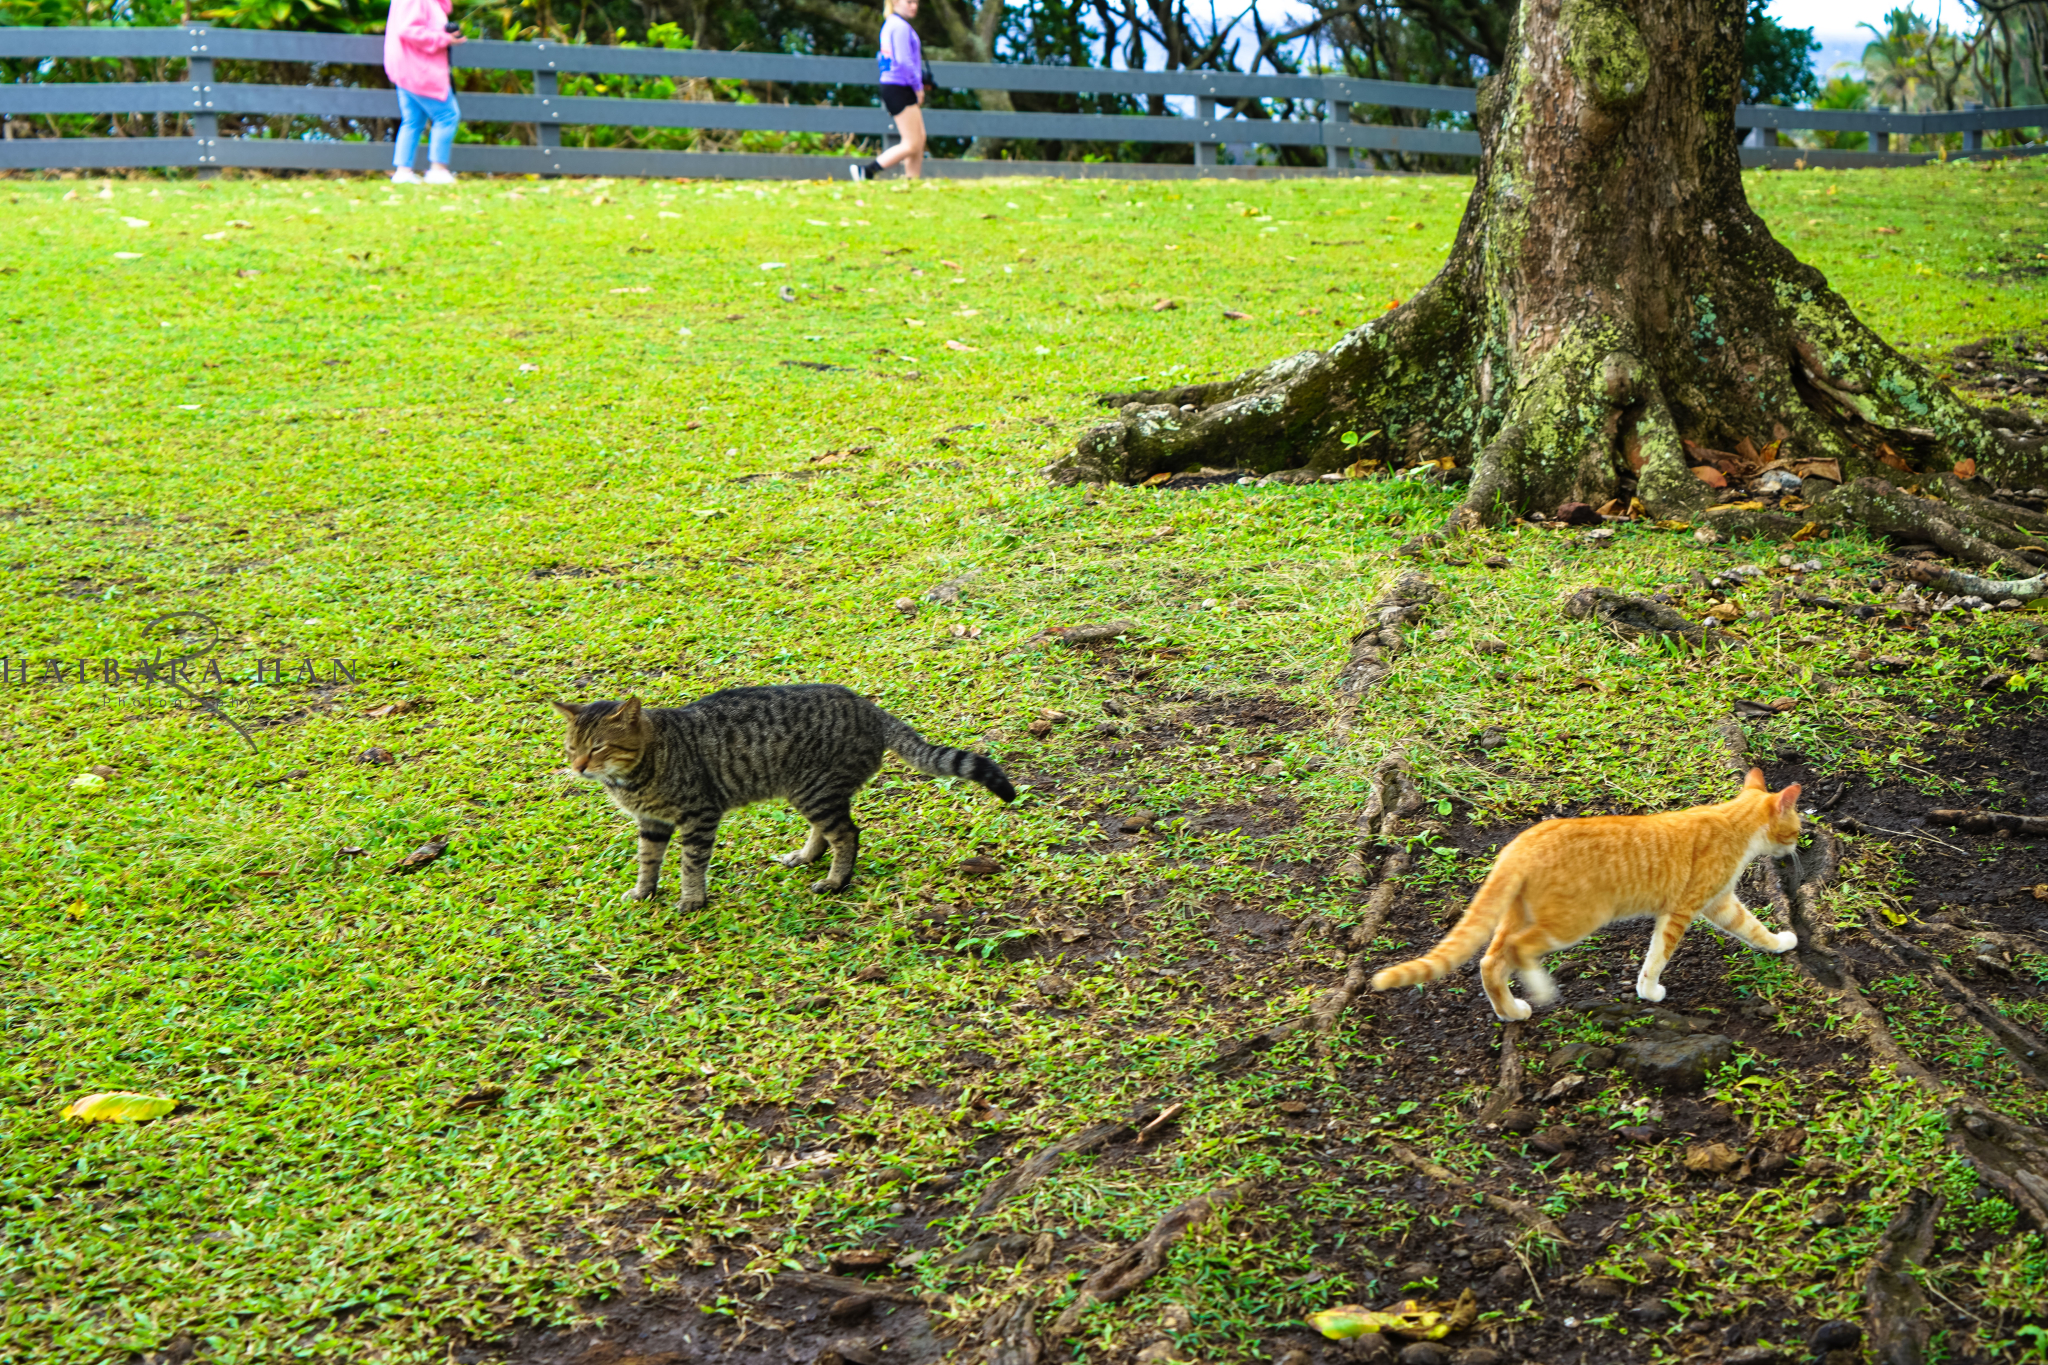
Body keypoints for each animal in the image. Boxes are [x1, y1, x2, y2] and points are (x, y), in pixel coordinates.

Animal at [552, 687, 1015, 912]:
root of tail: (870, 708)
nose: (578, 767)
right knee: (827, 832)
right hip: (808, 790)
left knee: (847, 834)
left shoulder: (699, 816)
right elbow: (647, 862)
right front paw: (643, 892)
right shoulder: (652, 824)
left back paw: (836, 881)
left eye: (597, 748)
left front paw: (692, 900)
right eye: (571, 747)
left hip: (814, 789)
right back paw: (806, 857)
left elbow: (690, 865)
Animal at [1368, 769, 1802, 1023]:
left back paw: (1511, 1011)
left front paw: (1779, 942)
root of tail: (1520, 844)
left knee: (1492, 960)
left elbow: (1752, 927)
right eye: (1797, 829)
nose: (1797, 846)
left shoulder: (1720, 904)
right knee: (1518, 950)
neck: (1733, 823)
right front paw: (1649, 991)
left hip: (1520, 915)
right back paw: (1542, 990)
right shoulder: (1684, 909)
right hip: (1574, 921)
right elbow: (1658, 956)